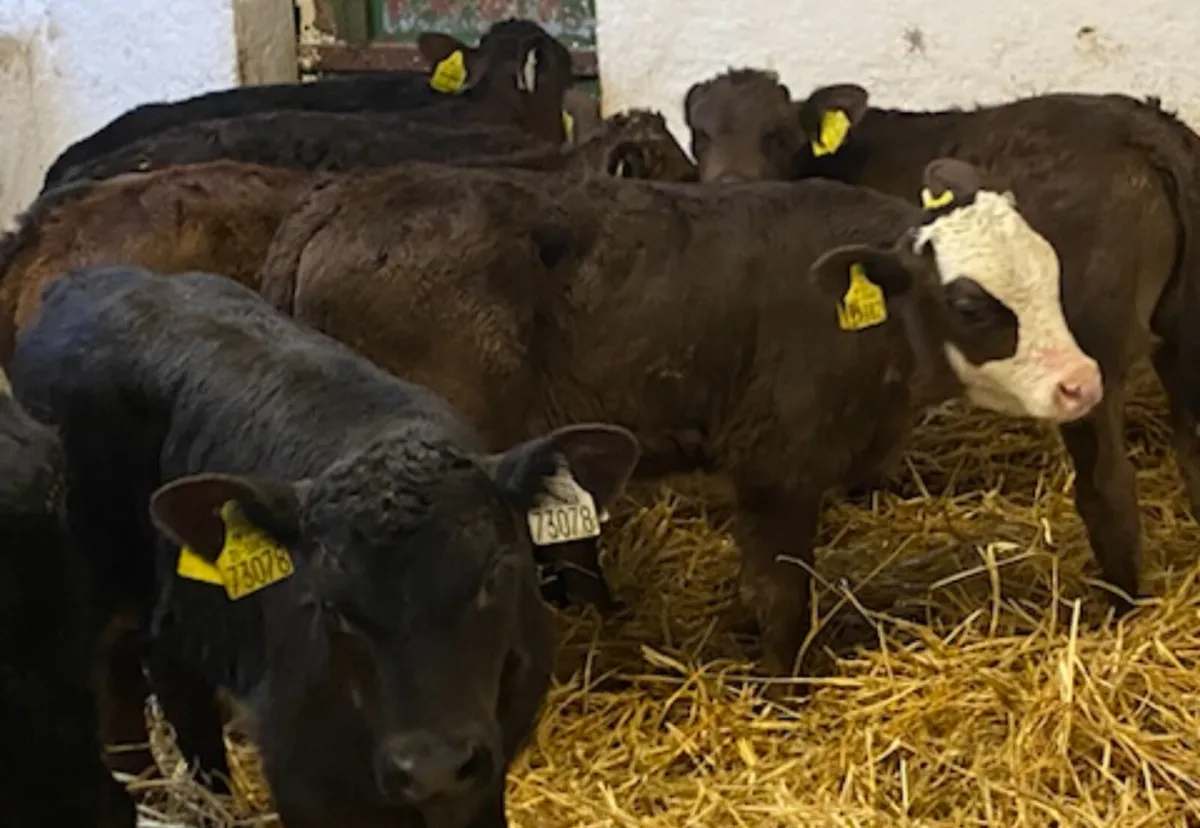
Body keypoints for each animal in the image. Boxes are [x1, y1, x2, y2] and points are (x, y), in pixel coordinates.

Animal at [252, 156, 1100, 683]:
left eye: (1053, 277)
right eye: (972, 305)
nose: (1081, 383)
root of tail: (339, 202)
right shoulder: (778, 466)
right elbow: (782, 591)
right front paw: (785, 689)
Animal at [682, 68, 1200, 616]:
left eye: (778, 135)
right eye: (700, 135)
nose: (730, 183)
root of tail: (1141, 127)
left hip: (1090, 347)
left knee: (1108, 487)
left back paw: (1119, 606)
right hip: (1187, 328)